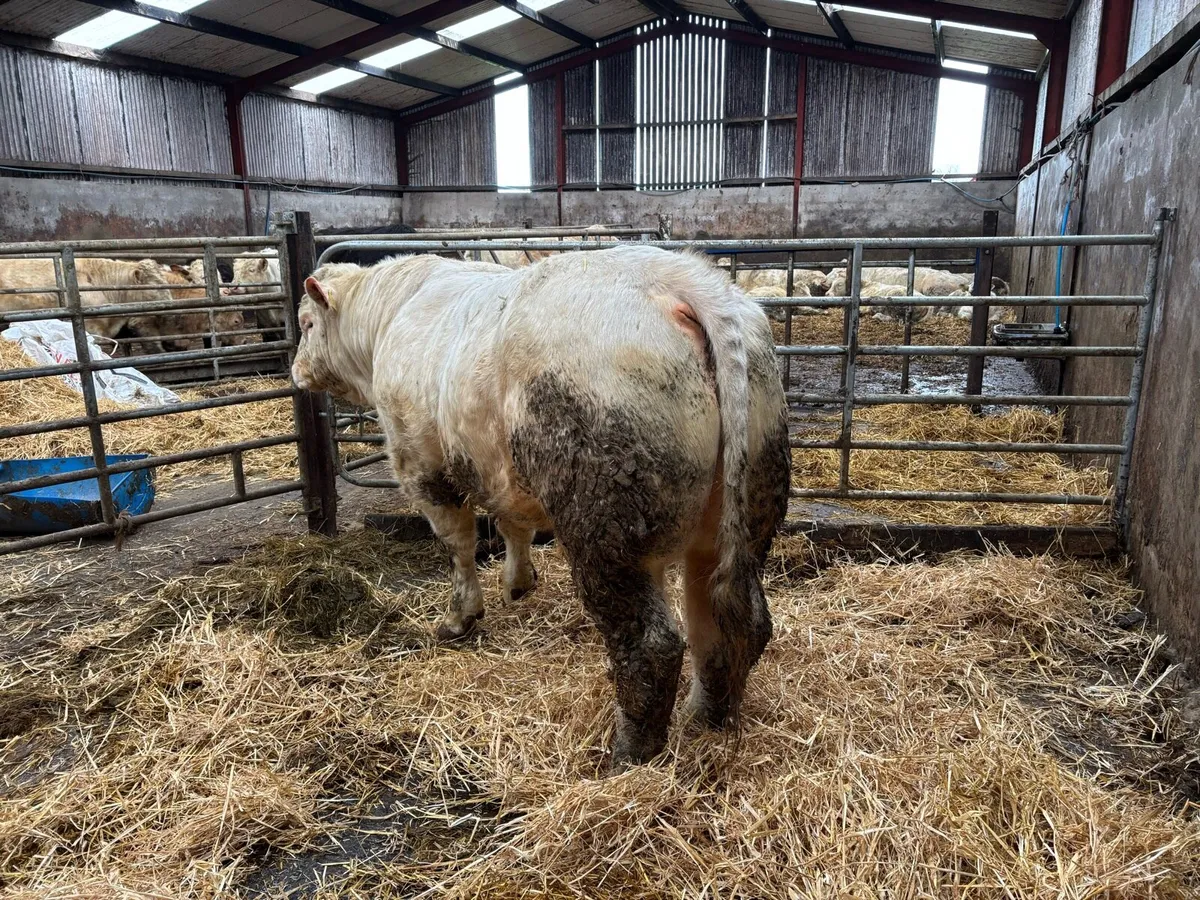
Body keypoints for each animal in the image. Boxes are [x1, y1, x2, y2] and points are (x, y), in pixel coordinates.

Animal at [292, 247, 790, 770]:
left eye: (306, 323)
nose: (296, 371)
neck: (391, 313)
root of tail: (686, 281)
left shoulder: (423, 465)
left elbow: (459, 545)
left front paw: (459, 618)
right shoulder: (500, 471)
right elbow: (513, 525)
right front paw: (518, 582)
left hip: (607, 526)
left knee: (652, 645)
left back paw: (627, 752)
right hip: (740, 509)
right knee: (729, 621)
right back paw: (706, 717)